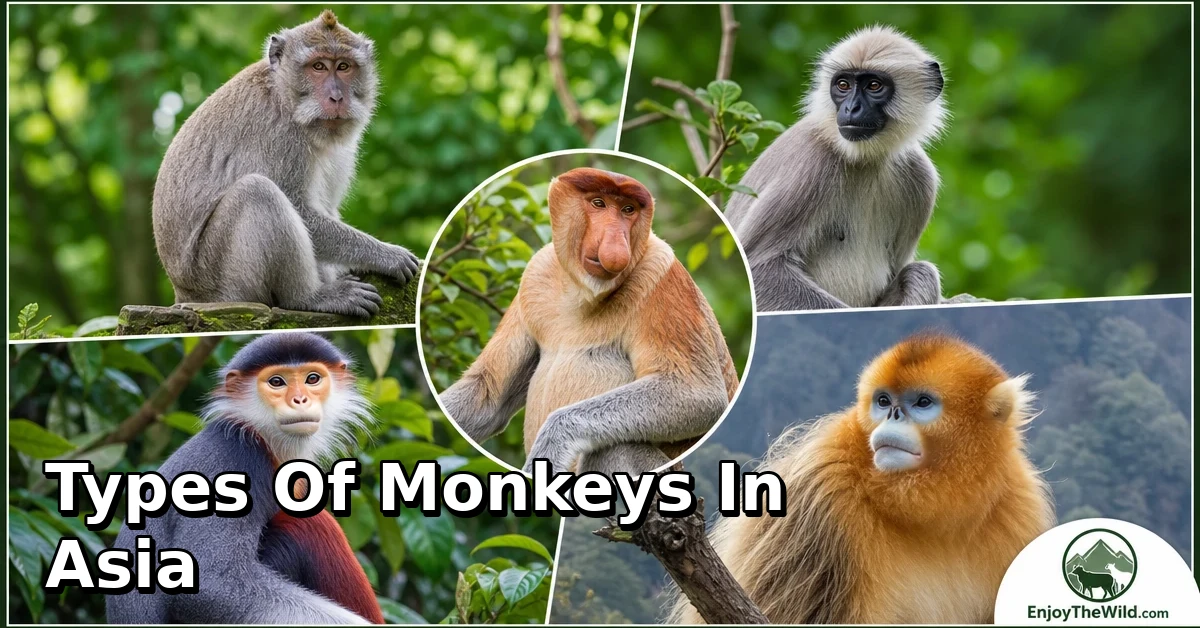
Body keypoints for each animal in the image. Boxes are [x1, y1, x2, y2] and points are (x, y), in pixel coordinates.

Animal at [107, 332, 383, 624]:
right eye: (277, 382)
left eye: (312, 379)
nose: (300, 400)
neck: (259, 436)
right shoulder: (235, 460)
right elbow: (209, 586)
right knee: (307, 523)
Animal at [152, 10, 420, 317]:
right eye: (318, 67)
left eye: (343, 66)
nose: (337, 97)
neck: (283, 94)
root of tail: (184, 293)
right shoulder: (279, 135)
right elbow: (300, 209)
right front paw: (386, 255)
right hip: (220, 279)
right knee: (258, 192)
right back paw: (311, 297)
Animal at [437, 168, 739, 476]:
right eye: (598, 204)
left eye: (628, 210)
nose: (616, 244)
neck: (584, 294)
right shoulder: (534, 276)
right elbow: (488, 395)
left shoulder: (660, 276)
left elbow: (699, 394)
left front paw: (551, 445)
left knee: (614, 445)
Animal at [724, 26, 947, 312]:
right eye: (843, 85)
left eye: (874, 86)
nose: (851, 108)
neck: (865, 160)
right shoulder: (812, 165)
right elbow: (757, 266)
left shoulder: (920, 174)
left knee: (921, 273)